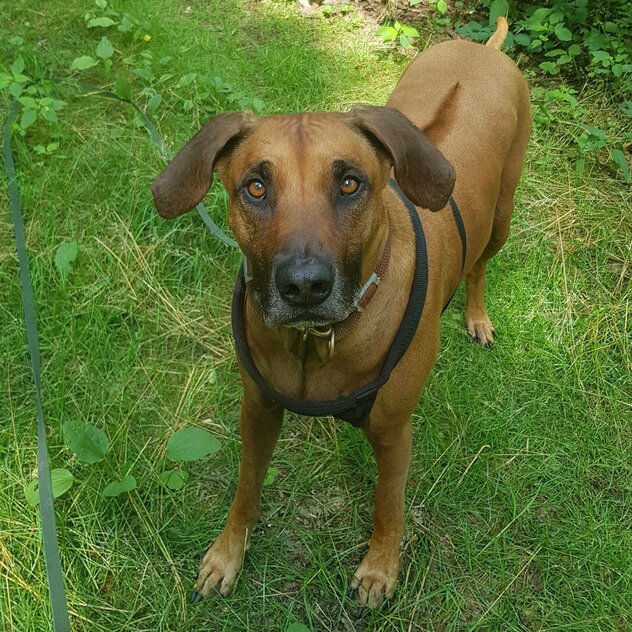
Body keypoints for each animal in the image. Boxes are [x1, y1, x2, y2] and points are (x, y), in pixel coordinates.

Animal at [152, 19, 528, 608]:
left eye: (350, 182)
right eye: (254, 187)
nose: (304, 286)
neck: (318, 338)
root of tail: (483, 49)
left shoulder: (395, 433)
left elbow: (388, 506)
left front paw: (380, 569)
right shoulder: (258, 408)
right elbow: (246, 487)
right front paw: (227, 553)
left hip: (502, 217)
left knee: (481, 266)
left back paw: (476, 316)